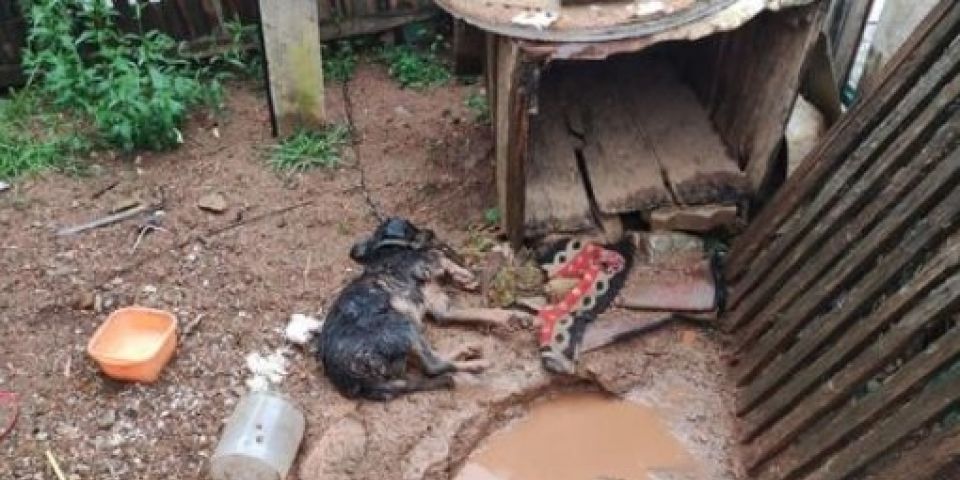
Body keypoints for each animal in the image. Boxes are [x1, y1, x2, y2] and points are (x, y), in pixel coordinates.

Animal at [316, 218, 528, 402]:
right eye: (413, 226)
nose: (432, 231)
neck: (389, 249)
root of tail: (353, 377)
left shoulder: (441, 308)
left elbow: (484, 313)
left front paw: (515, 316)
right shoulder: (428, 265)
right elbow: (441, 257)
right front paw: (464, 274)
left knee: (431, 364)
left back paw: (466, 352)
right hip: (402, 324)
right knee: (433, 366)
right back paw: (476, 364)